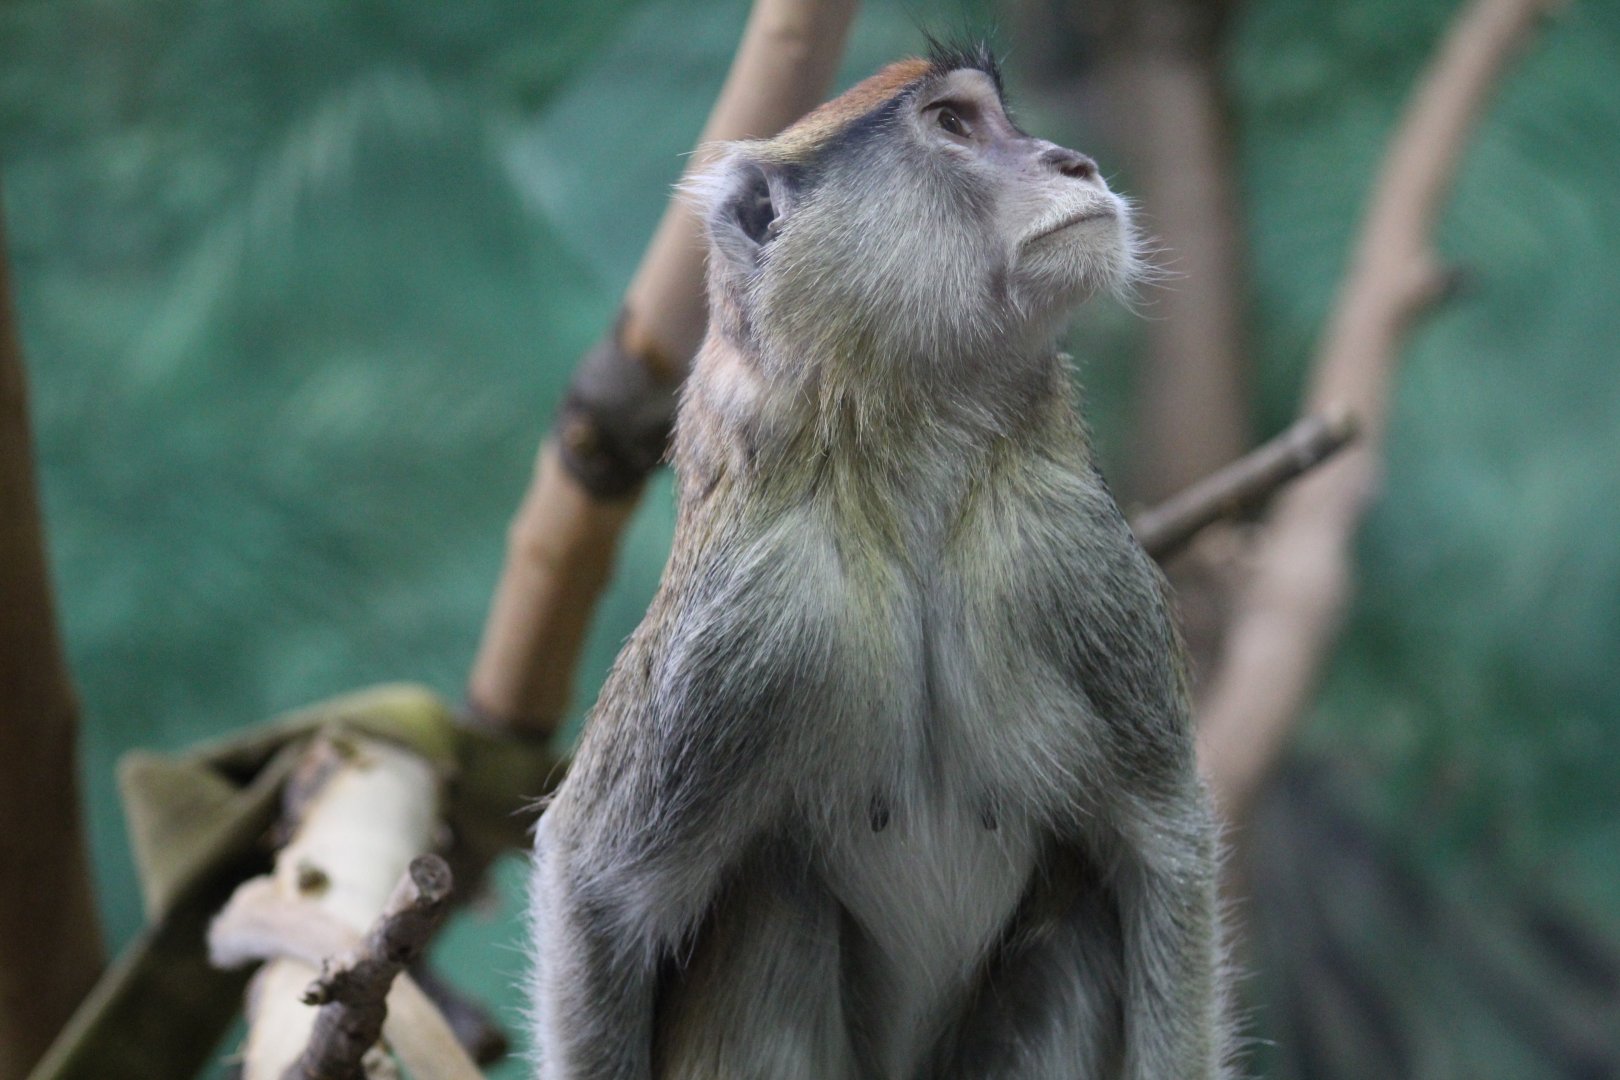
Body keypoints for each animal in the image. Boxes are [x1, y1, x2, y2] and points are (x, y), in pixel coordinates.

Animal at [529, 44, 1233, 1080]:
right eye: (952, 124)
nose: (1074, 162)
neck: (911, 463)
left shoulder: (1070, 554)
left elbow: (1163, 845)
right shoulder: (752, 614)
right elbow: (597, 894)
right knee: (774, 905)